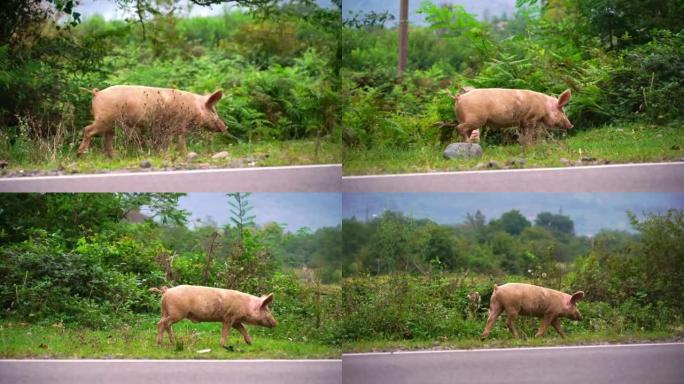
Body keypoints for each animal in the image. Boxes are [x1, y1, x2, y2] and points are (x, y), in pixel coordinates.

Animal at [76, 85, 227, 158]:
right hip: (104, 120)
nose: (226, 127)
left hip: (110, 124)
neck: (193, 107)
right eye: (214, 111)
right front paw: (185, 154)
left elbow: (166, 142)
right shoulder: (178, 124)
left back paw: (115, 157)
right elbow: (180, 140)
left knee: (107, 139)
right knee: (87, 129)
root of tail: (97, 93)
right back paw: (80, 155)